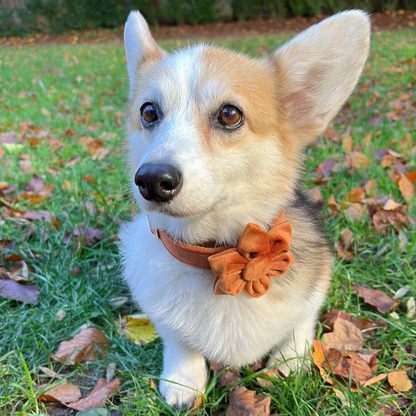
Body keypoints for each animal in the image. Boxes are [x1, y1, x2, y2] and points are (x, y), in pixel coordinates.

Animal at [120, 9, 370, 410]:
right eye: (148, 112)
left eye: (229, 114)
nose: (153, 180)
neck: (219, 255)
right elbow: (178, 338)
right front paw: (183, 380)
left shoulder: (313, 293)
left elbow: (299, 326)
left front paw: (287, 364)